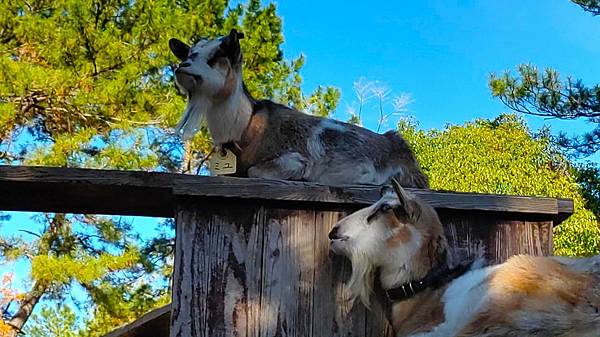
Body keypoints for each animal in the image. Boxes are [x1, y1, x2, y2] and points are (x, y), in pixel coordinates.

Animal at [166, 30, 428, 188]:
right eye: (189, 53)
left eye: (218, 54)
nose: (182, 67)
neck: (248, 125)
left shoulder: (294, 160)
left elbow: (255, 172)